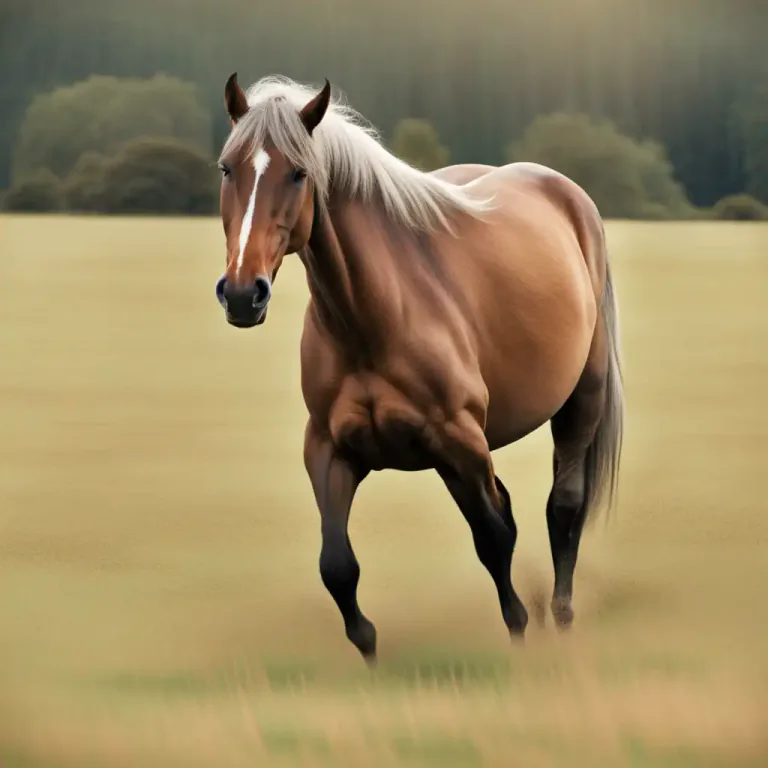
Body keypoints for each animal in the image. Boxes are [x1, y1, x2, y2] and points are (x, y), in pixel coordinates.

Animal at [213, 73, 624, 665]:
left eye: (298, 173)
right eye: (228, 168)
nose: (244, 295)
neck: (373, 319)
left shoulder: (462, 442)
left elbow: (494, 539)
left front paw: (521, 635)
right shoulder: (330, 451)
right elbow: (337, 566)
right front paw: (370, 653)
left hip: (577, 405)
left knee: (561, 509)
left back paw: (563, 618)